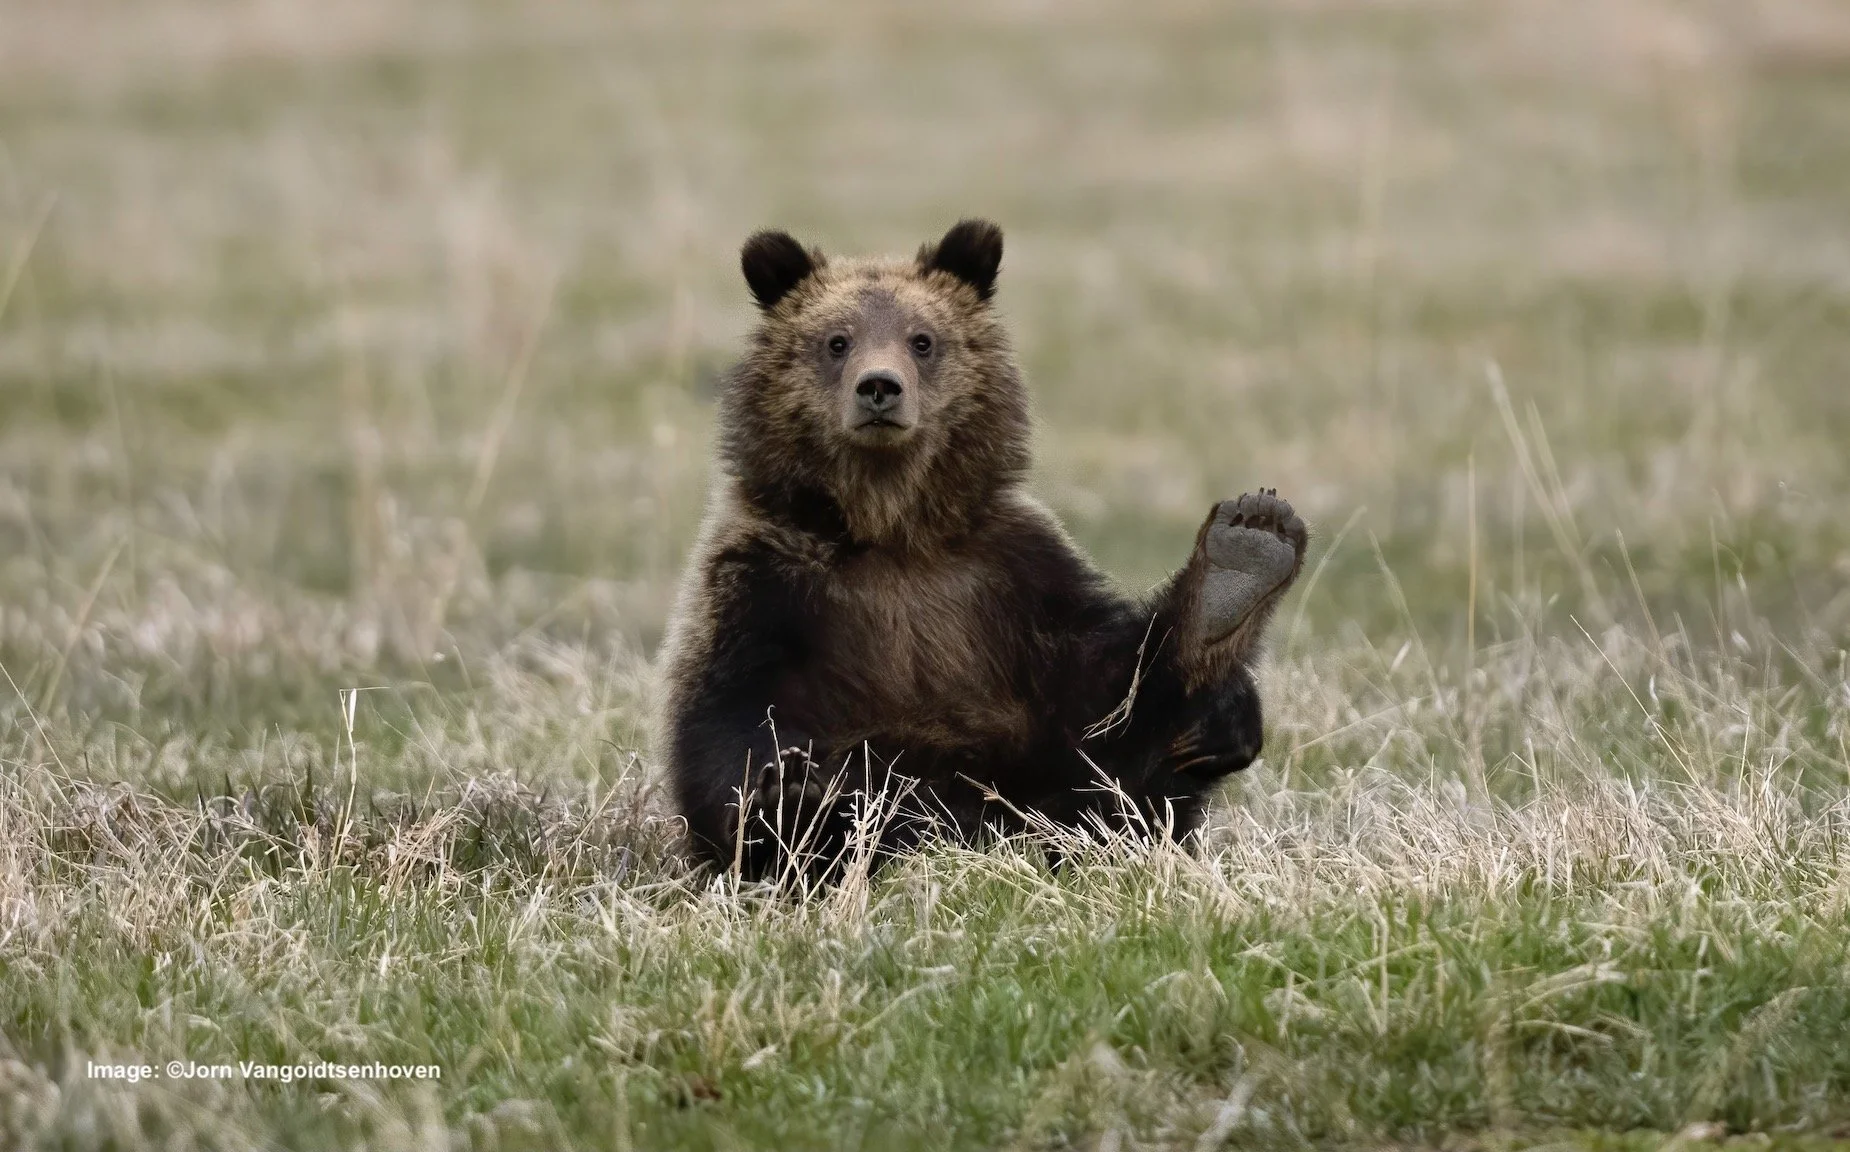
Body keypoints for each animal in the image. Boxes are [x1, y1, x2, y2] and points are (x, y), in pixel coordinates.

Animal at [656, 219, 1306, 881]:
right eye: (836, 341)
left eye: (922, 340)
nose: (879, 387)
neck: (889, 530)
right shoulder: (767, 584)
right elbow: (731, 717)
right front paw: (782, 794)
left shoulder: (1010, 580)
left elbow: (1105, 698)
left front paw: (1245, 561)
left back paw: (1242, 567)